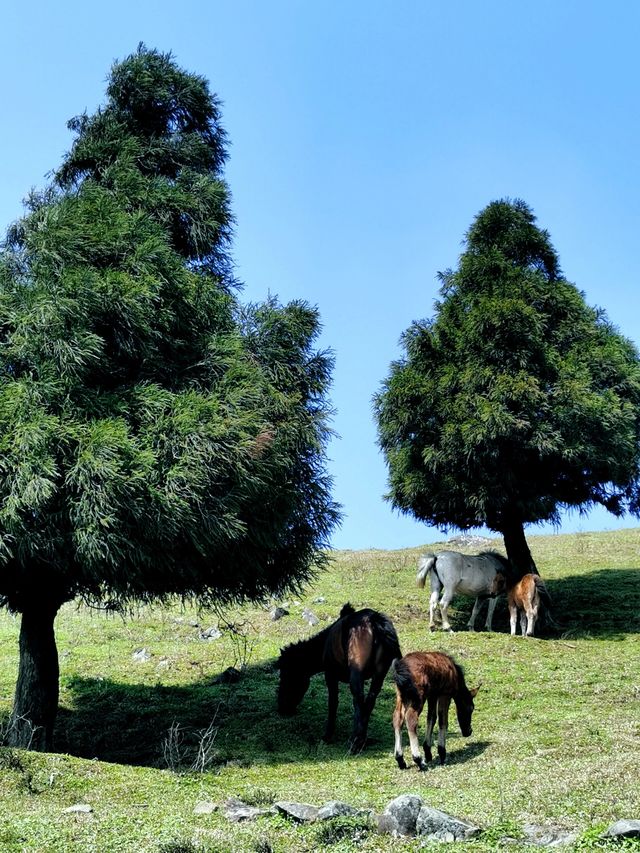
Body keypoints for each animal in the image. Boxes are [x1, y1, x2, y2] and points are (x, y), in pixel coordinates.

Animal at [276, 604, 400, 748]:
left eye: (286, 676)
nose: (282, 707)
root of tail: (374, 621)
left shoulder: (330, 675)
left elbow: (333, 703)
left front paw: (327, 735)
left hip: (356, 674)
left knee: (358, 699)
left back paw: (355, 741)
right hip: (379, 675)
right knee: (369, 701)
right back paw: (361, 739)